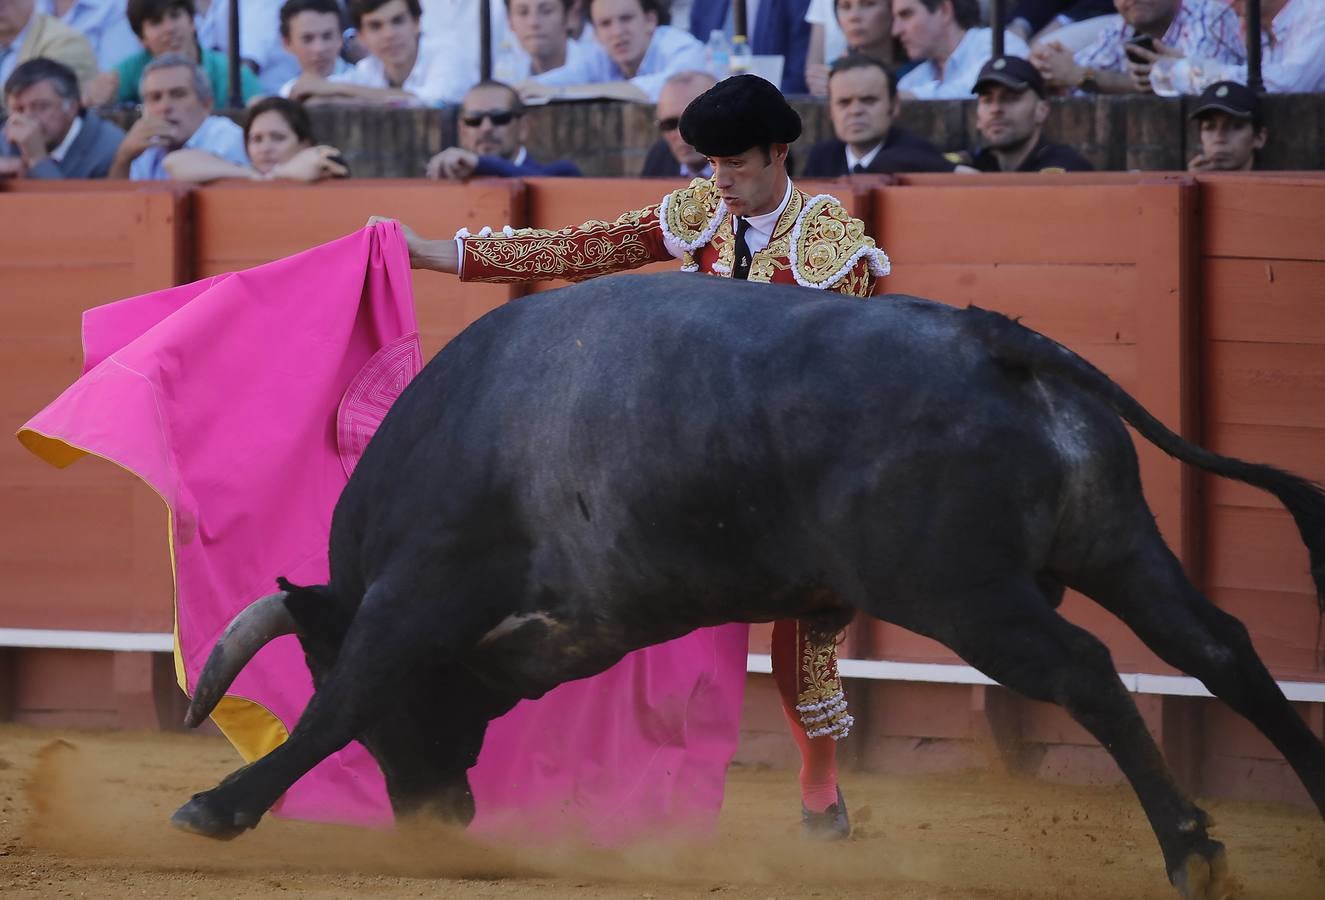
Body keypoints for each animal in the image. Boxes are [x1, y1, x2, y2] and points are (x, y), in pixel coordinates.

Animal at [170, 274, 1319, 900]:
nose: (432, 816)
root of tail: (997, 339)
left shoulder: (419, 595)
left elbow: (339, 700)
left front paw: (215, 807)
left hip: (966, 595)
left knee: (1084, 672)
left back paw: (1190, 852)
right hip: (1116, 545)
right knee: (1216, 647)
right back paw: (1305, 794)